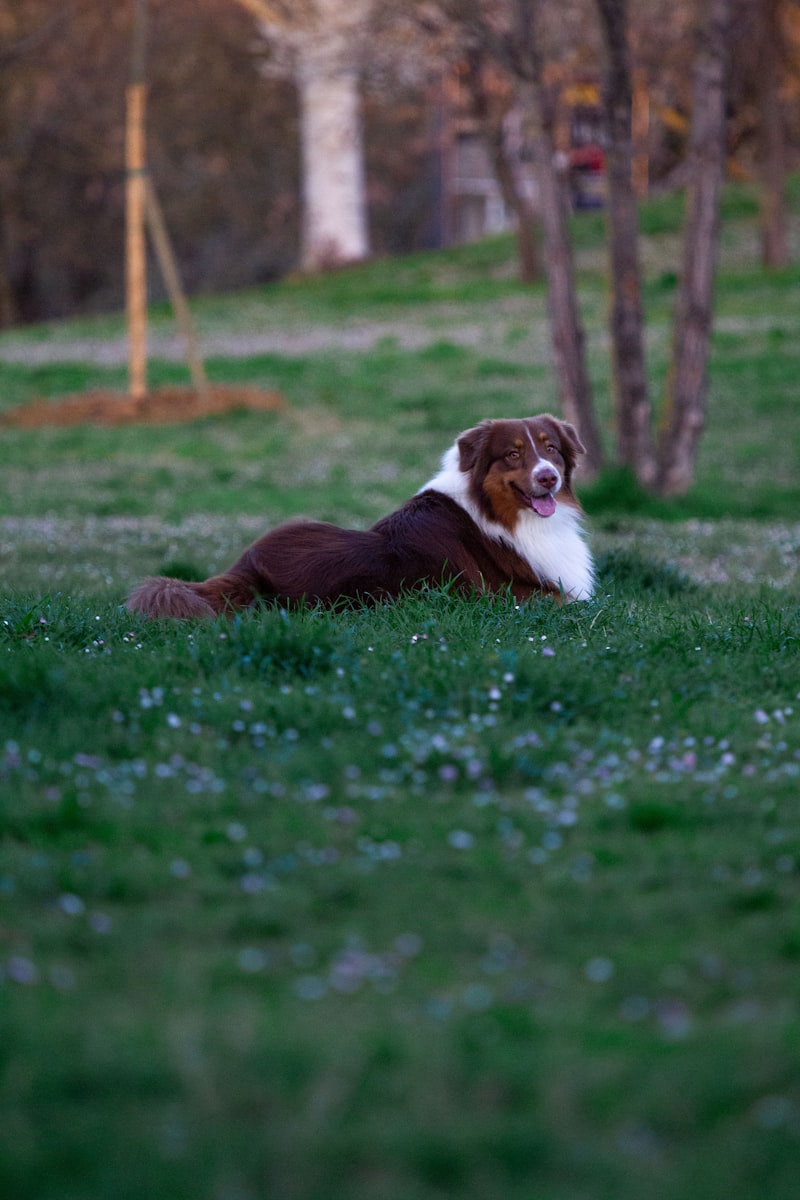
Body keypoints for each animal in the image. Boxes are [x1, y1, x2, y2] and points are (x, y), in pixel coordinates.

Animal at [126, 412, 594, 619]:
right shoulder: (506, 597)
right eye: (512, 454)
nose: (548, 477)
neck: (496, 513)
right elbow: (571, 598)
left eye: (550, 447)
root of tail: (247, 566)